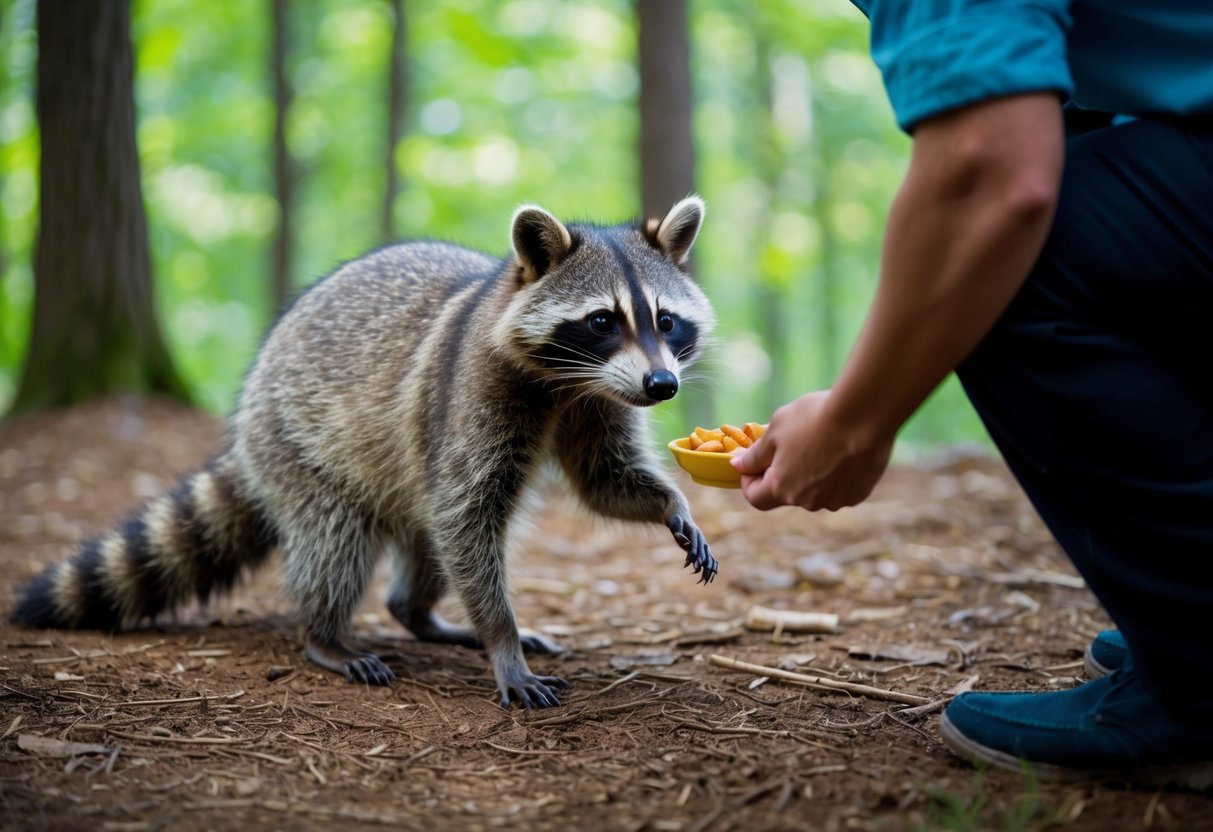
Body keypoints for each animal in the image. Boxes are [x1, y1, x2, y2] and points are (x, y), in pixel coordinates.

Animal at [10, 197, 718, 709]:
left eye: (665, 320)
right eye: (602, 321)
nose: (663, 385)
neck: (568, 383)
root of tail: (247, 422)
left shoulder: (598, 403)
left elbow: (602, 480)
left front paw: (670, 503)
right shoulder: (470, 393)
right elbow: (466, 514)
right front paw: (501, 640)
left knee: (432, 536)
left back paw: (423, 614)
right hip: (297, 443)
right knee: (341, 543)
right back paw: (326, 634)